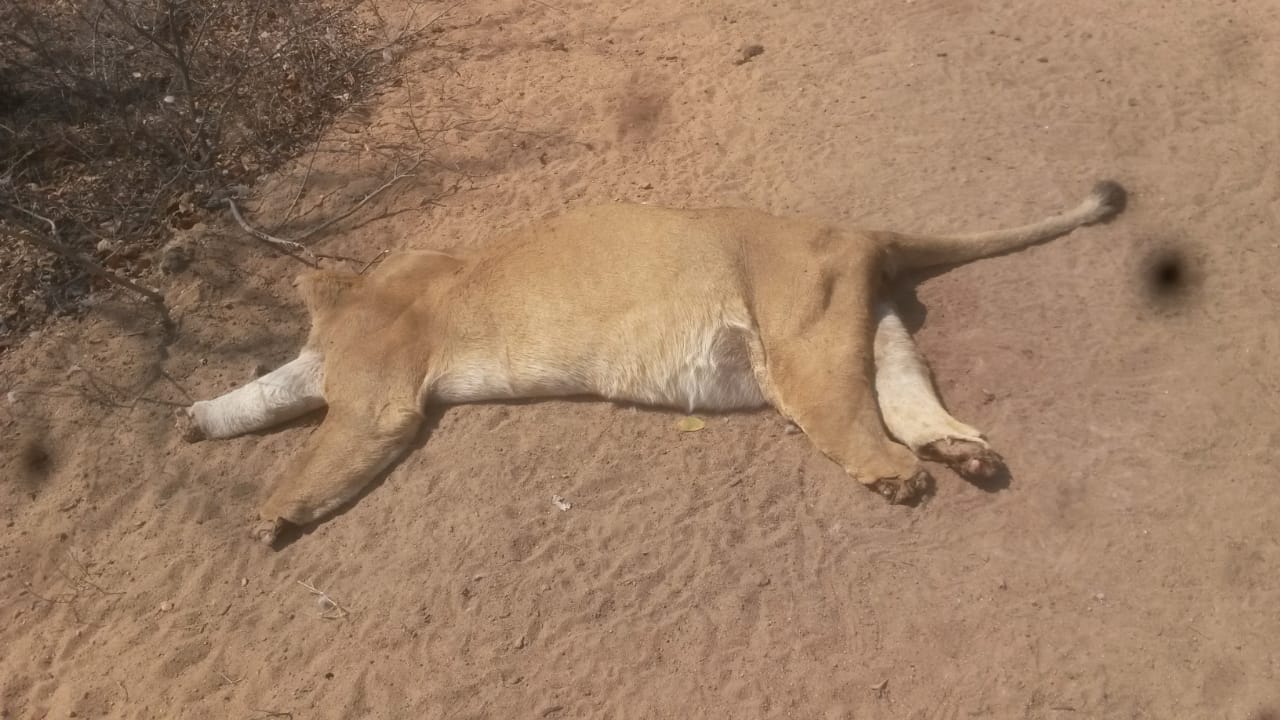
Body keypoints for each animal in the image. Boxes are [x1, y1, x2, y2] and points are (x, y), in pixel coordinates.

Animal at [182, 180, 1126, 544]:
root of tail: (858, 232)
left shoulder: (377, 398)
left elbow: (317, 451)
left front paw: (268, 513)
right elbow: (265, 391)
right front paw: (197, 419)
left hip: (801, 345)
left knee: (856, 422)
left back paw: (900, 477)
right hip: (869, 324)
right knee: (910, 395)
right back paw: (968, 455)